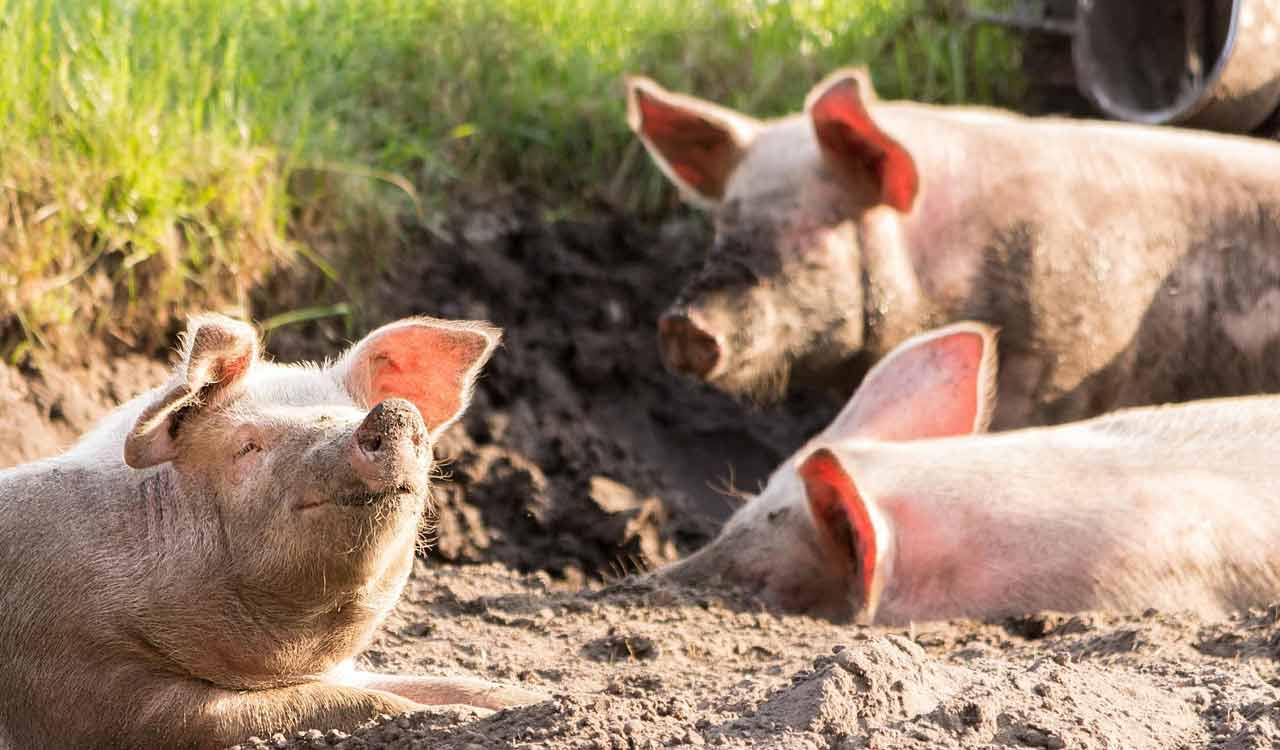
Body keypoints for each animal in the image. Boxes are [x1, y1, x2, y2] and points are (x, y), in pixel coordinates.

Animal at [0, 314, 545, 750]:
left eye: (353, 413)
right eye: (248, 446)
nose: (391, 412)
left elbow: (442, 684)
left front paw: (535, 699)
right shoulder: (91, 686)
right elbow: (348, 703)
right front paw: (461, 717)